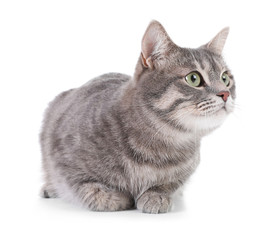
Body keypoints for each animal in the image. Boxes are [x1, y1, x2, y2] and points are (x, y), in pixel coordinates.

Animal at [39, 21, 235, 214]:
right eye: (193, 78)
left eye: (225, 78)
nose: (225, 93)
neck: (160, 144)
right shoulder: (65, 164)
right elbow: (86, 188)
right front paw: (115, 197)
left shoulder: (187, 169)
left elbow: (170, 183)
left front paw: (156, 195)